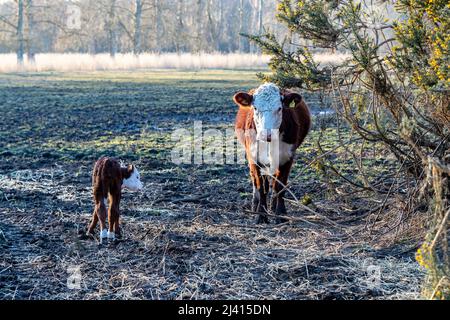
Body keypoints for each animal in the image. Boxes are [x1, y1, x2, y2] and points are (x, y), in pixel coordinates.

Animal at [234, 81, 312, 224]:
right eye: (255, 108)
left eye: (279, 108)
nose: (266, 135)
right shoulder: (254, 157)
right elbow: (261, 187)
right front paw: (261, 215)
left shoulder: (287, 157)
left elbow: (279, 186)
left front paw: (280, 214)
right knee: (255, 180)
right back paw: (255, 205)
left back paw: (273, 206)